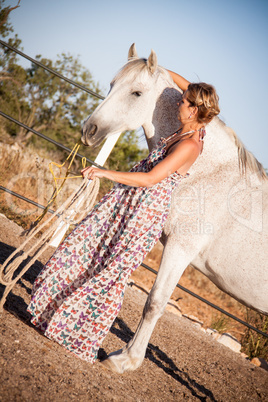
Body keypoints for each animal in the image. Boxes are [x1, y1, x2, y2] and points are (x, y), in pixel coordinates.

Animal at [81, 44, 268, 374]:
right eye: (112, 85)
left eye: (137, 93)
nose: (89, 130)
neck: (210, 173)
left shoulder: (181, 249)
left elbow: (155, 302)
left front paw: (126, 360)